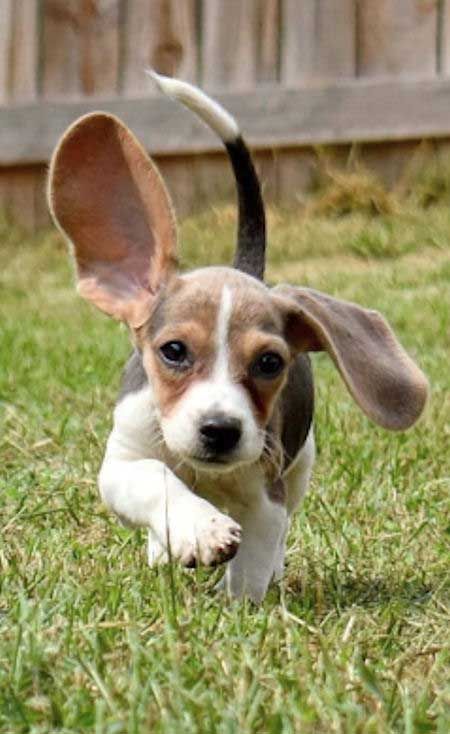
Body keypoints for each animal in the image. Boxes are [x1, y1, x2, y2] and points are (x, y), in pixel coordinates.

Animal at [46, 73, 428, 604]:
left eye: (269, 363)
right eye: (174, 351)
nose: (221, 429)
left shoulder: (268, 494)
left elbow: (255, 557)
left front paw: (237, 605)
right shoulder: (122, 464)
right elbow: (157, 480)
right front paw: (197, 529)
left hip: (301, 464)